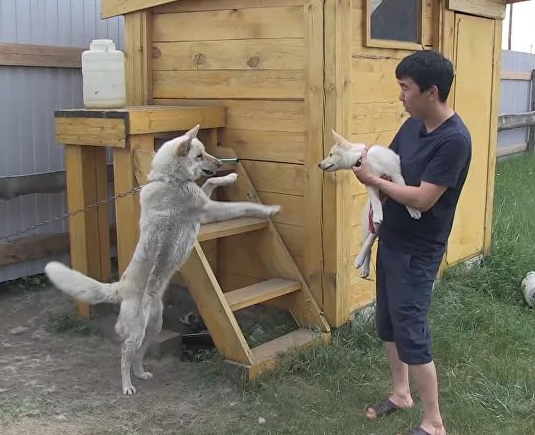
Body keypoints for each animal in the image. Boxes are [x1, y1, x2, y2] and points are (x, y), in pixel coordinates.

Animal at [44, 125, 280, 395]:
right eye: (199, 155)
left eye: (206, 152)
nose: (221, 163)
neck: (171, 179)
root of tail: (120, 287)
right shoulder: (208, 210)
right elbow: (242, 206)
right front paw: (269, 210)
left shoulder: (204, 208)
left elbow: (211, 180)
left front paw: (229, 178)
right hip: (136, 331)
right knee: (124, 354)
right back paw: (127, 386)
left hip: (153, 327)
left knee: (138, 354)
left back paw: (141, 373)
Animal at [318, 130, 421, 278]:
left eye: (331, 154)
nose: (319, 164)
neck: (365, 157)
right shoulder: (370, 182)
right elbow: (375, 201)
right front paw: (378, 213)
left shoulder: (395, 175)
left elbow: (405, 190)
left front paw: (413, 210)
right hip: (368, 226)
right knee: (368, 244)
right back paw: (362, 264)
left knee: (370, 241)